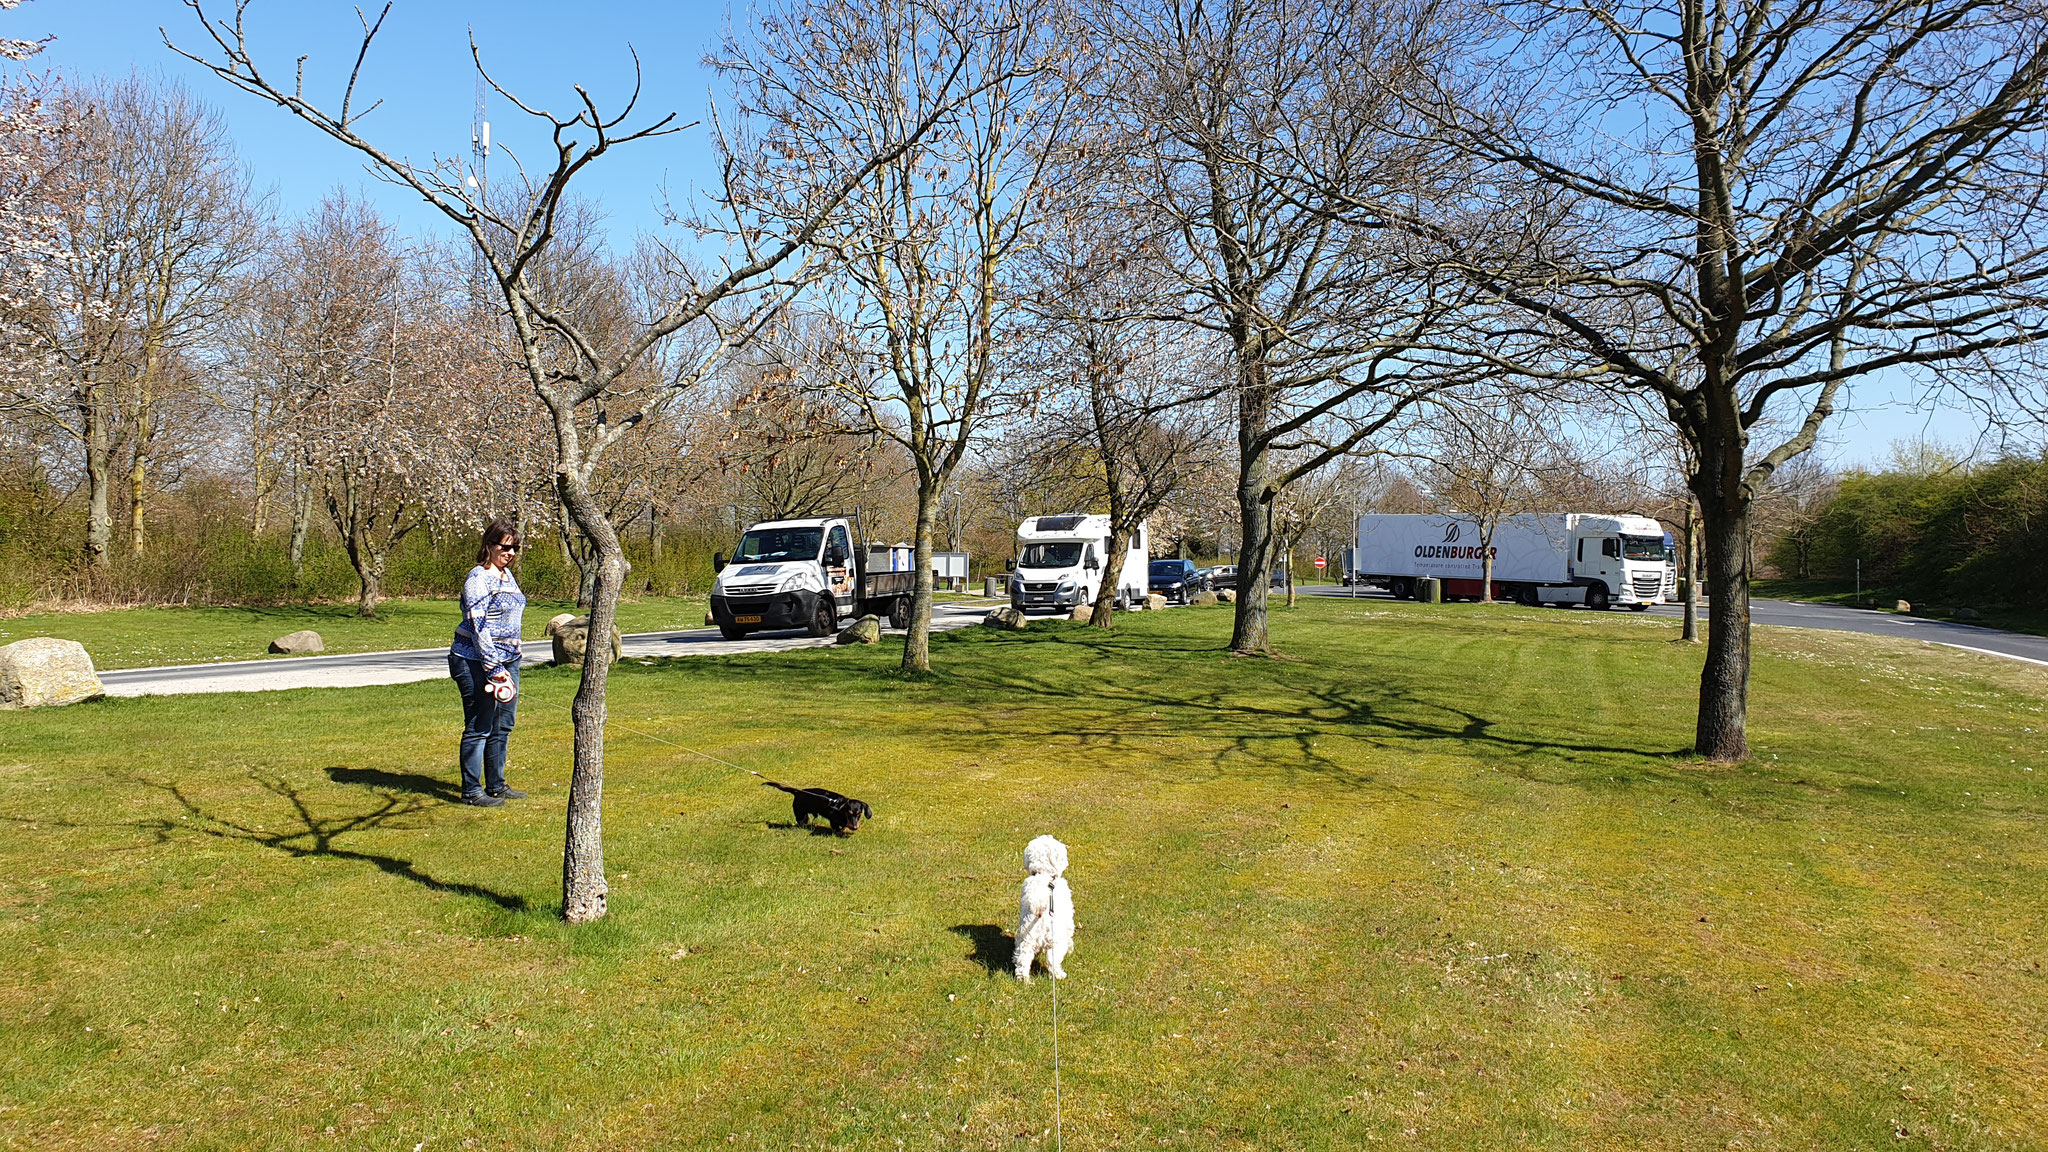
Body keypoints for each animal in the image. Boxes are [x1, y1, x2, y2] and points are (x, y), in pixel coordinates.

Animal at [1015, 832, 1081, 975]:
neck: (1044, 874)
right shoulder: (1068, 919)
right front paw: (1071, 948)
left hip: (1026, 938)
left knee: (1022, 959)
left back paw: (1024, 979)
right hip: (1055, 941)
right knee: (1052, 961)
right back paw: (1060, 975)